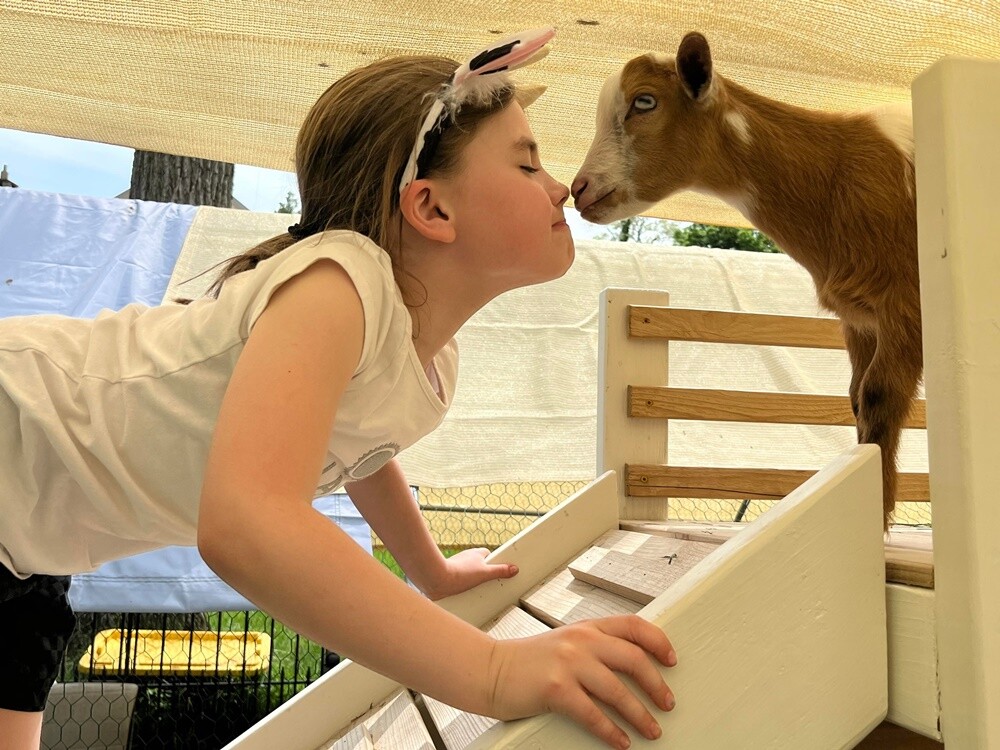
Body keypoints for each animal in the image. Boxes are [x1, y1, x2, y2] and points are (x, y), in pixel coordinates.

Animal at [572, 32, 921, 530]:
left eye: (644, 101)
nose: (579, 189)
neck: (838, 172)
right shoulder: (859, 318)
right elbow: (856, 398)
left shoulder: (905, 306)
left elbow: (878, 397)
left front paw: (878, 525)